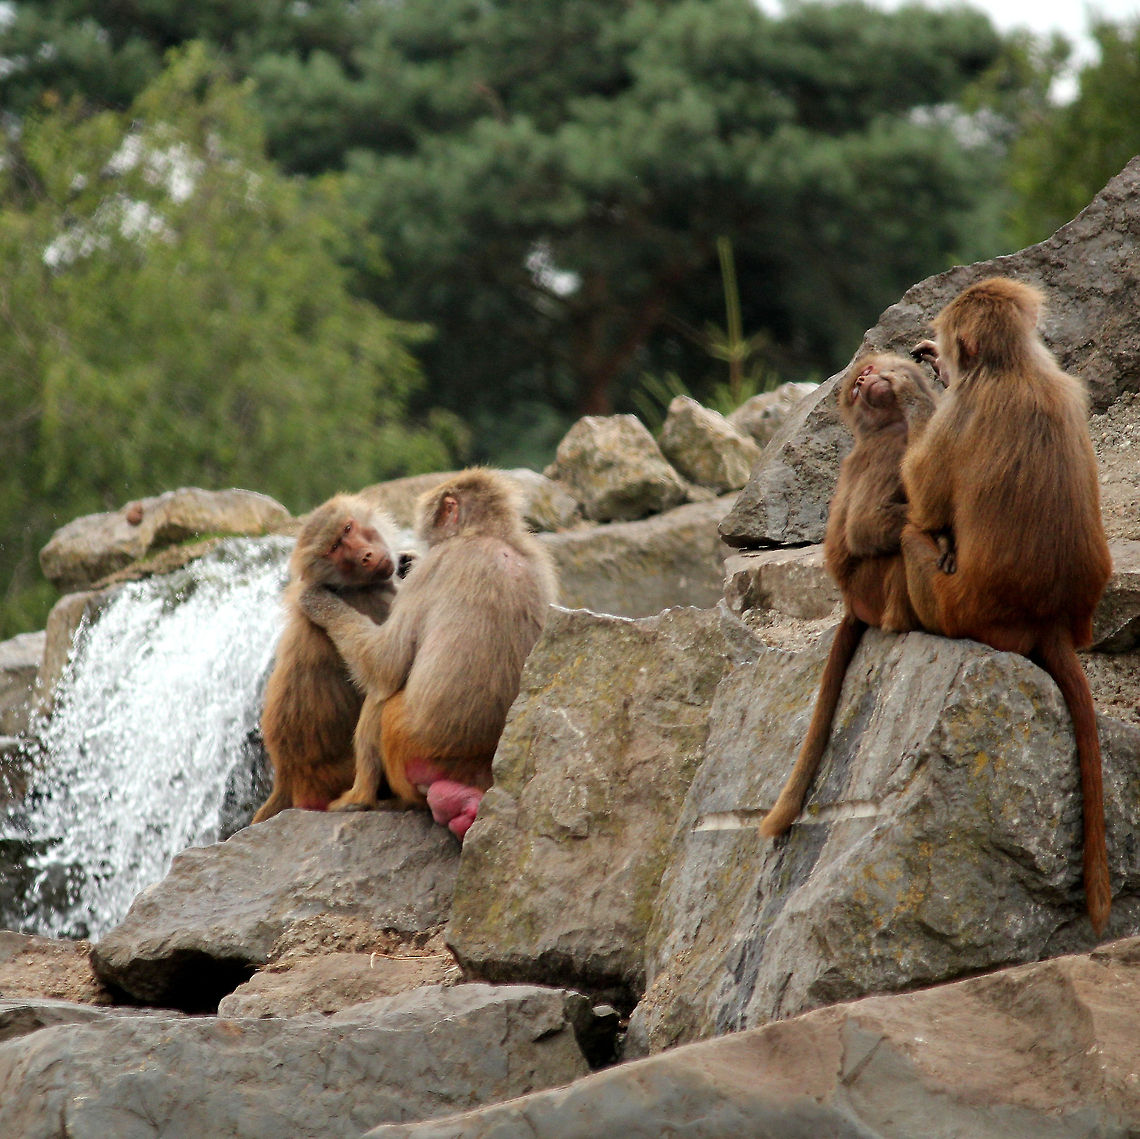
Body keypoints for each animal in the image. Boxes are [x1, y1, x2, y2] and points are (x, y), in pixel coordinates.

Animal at [300, 468, 559, 840]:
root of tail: (475, 770)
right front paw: (406, 560)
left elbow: (384, 665)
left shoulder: (435, 569)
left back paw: (359, 799)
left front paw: (320, 603)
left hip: (410, 745)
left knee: (381, 700)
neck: (491, 535)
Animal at [760, 353, 940, 838]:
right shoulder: (889, 450)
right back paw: (906, 621)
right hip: (872, 588)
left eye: (866, 375)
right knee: (897, 547)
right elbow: (866, 526)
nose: (864, 381)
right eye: (857, 386)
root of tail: (851, 603)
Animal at [899, 276, 1114, 934]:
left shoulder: (959, 415)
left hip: (955, 609)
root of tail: (1050, 622)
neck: (1014, 367)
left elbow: (922, 497)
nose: (940, 361)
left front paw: (915, 387)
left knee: (913, 535)